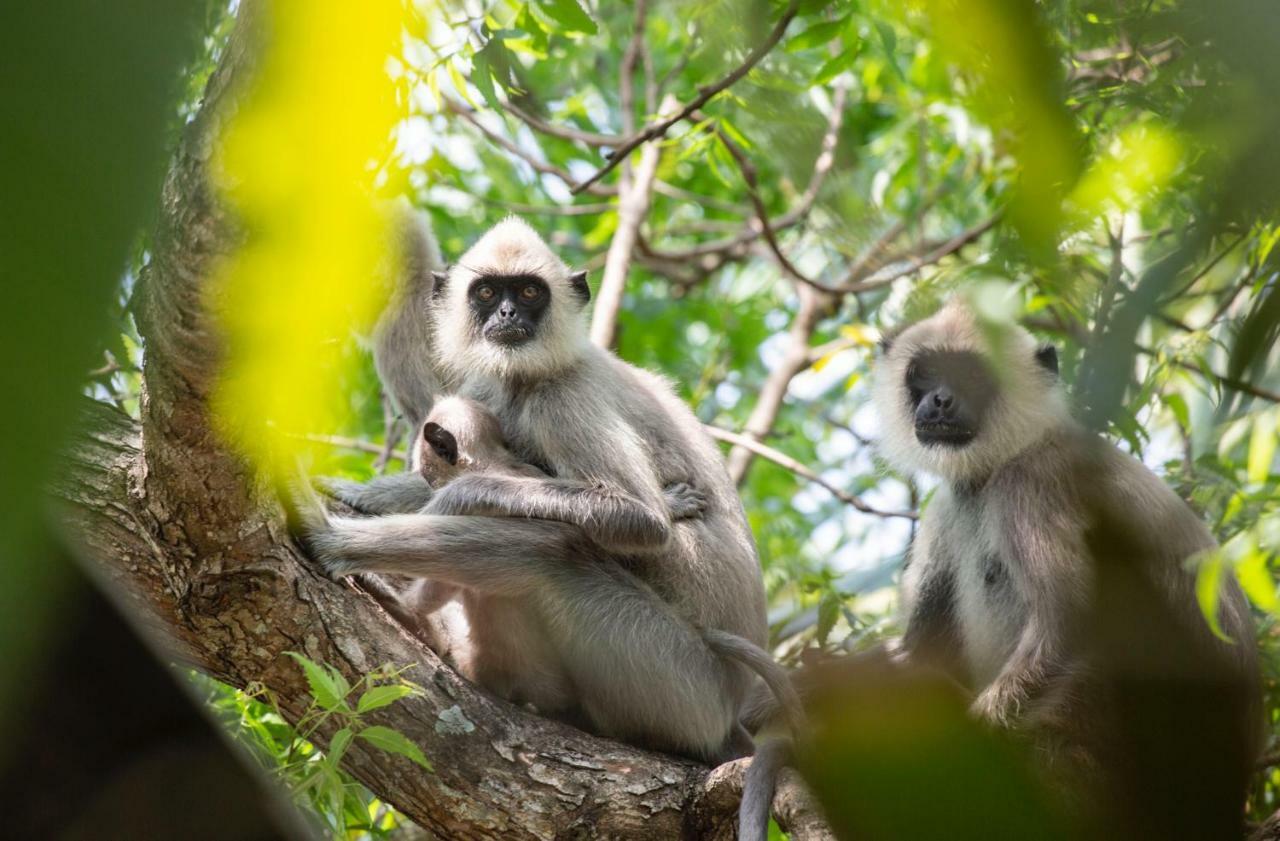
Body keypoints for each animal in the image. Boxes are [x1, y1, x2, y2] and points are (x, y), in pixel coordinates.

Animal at [296, 216, 788, 768]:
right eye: (488, 293)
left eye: (530, 292)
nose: (508, 313)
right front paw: (360, 493)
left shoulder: (561, 397)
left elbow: (639, 518)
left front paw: (458, 495)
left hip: (676, 682)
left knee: (551, 550)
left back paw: (337, 546)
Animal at [875, 298, 1264, 834]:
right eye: (924, 374)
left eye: (972, 375)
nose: (939, 400)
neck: (998, 464)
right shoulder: (946, 514)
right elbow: (919, 654)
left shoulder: (1033, 485)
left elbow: (1072, 628)